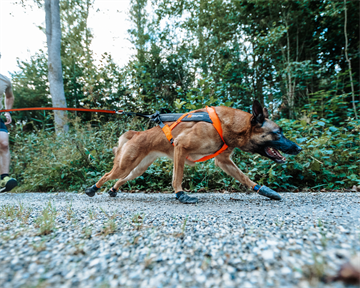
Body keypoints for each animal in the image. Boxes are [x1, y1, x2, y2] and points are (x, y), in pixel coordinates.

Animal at [86, 100, 302, 204]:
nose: (299, 148)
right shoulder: (181, 148)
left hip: (137, 169)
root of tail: (137, 134)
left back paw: (113, 190)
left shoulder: (224, 162)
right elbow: (177, 178)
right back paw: (93, 189)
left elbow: (244, 177)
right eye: (278, 133)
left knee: (122, 179)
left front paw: (265, 191)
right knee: (107, 175)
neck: (226, 125)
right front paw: (181, 195)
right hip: (124, 165)